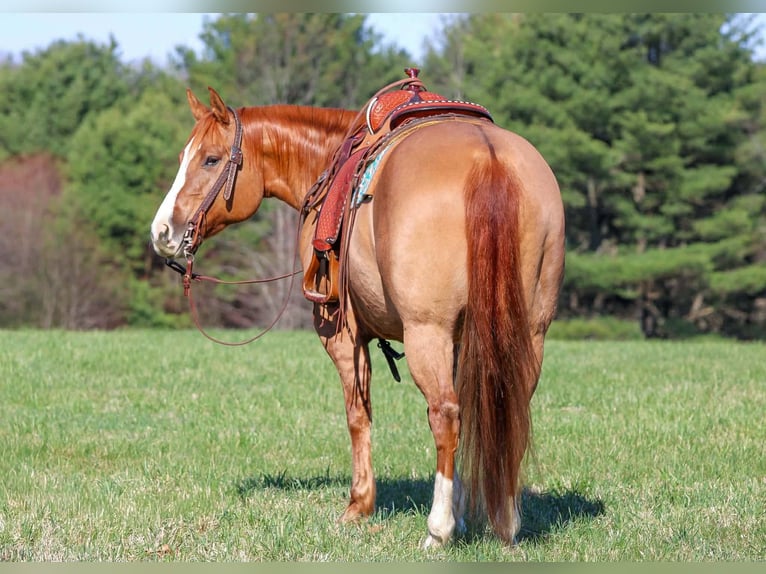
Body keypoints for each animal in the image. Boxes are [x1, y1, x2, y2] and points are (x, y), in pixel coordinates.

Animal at [150, 79, 565, 548]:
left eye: (211, 159)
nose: (162, 231)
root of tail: (486, 157)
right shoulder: (464, 340)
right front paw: (461, 512)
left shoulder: (343, 335)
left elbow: (357, 415)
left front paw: (359, 505)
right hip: (528, 332)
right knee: (509, 405)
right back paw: (506, 521)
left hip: (427, 332)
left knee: (443, 414)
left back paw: (437, 529)